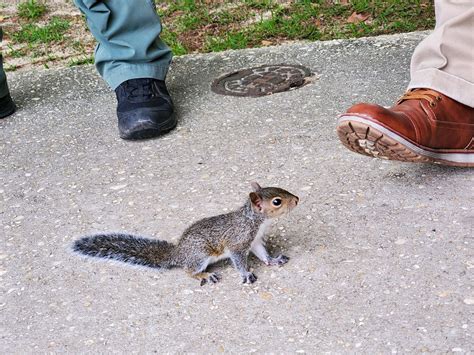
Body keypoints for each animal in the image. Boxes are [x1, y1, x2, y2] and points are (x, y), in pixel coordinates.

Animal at [72, 184, 298, 286]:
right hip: (200, 255)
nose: (297, 199)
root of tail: (178, 254)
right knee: (188, 271)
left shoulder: (255, 241)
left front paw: (273, 260)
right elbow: (239, 260)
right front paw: (246, 274)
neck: (255, 221)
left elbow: (262, 254)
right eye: (277, 201)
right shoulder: (238, 242)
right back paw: (205, 275)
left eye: (280, 188)